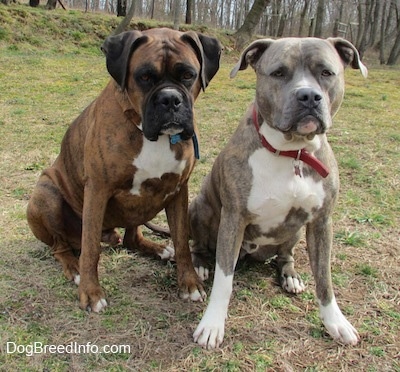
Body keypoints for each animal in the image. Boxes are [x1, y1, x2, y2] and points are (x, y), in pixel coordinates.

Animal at [27, 29, 222, 312]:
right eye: (144, 77)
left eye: (188, 75)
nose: (170, 99)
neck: (151, 135)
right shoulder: (97, 190)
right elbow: (90, 248)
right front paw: (91, 292)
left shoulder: (178, 189)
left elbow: (182, 241)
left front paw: (189, 282)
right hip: (46, 194)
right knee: (60, 247)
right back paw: (74, 268)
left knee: (132, 238)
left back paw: (158, 249)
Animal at [189, 37, 368, 348]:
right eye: (279, 73)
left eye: (326, 72)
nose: (308, 96)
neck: (291, 151)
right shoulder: (233, 219)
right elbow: (224, 279)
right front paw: (212, 325)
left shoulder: (322, 222)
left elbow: (325, 280)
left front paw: (336, 322)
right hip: (200, 207)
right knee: (199, 246)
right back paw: (199, 266)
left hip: (294, 231)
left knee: (286, 256)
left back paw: (291, 276)